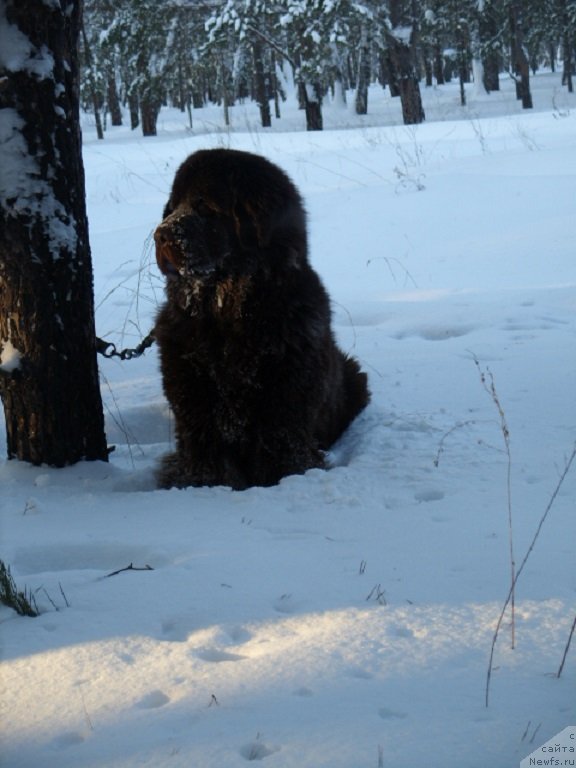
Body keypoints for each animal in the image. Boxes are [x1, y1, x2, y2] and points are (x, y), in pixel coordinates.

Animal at [153, 147, 368, 488]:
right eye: (173, 207)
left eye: (204, 206)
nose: (159, 235)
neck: (228, 316)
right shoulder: (193, 401)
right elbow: (202, 452)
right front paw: (199, 483)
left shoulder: (286, 401)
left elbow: (282, 449)